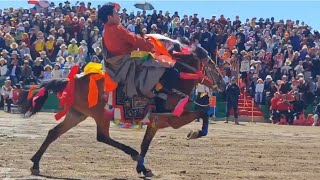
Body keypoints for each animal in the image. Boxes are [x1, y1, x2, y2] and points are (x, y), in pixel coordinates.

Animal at [18, 42, 225, 177]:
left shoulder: (155, 123)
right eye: (212, 65)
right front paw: (195, 133)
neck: (172, 81)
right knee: (102, 136)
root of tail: (73, 79)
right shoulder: (171, 119)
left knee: (53, 133)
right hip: (100, 114)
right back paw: (131, 153)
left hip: (77, 114)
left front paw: (143, 168)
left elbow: (145, 144)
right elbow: (203, 113)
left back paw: (35, 163)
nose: (223, 83)